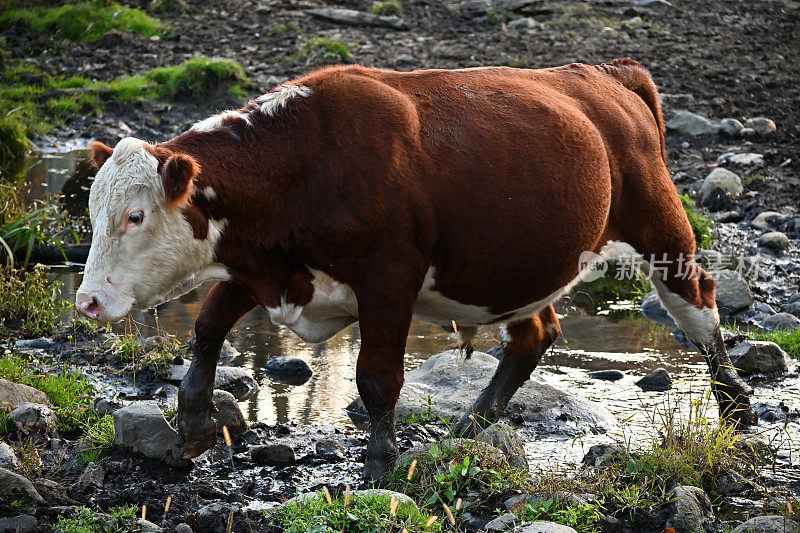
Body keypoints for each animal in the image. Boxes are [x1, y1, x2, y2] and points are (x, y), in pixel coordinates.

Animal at [76, 58, 756, 478]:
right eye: (92, 209)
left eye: (135, 216)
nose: (87, 301)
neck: (306, 163)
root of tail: (605, 73)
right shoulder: (264, 269)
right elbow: (208, 328)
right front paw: (192, 418)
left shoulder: (387, 281)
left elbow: (377, 379)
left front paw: (380, 463)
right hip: (522, 271)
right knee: (535, 335)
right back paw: (472, 424)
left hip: (662, 229)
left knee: (699, 307)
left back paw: (736, 405)